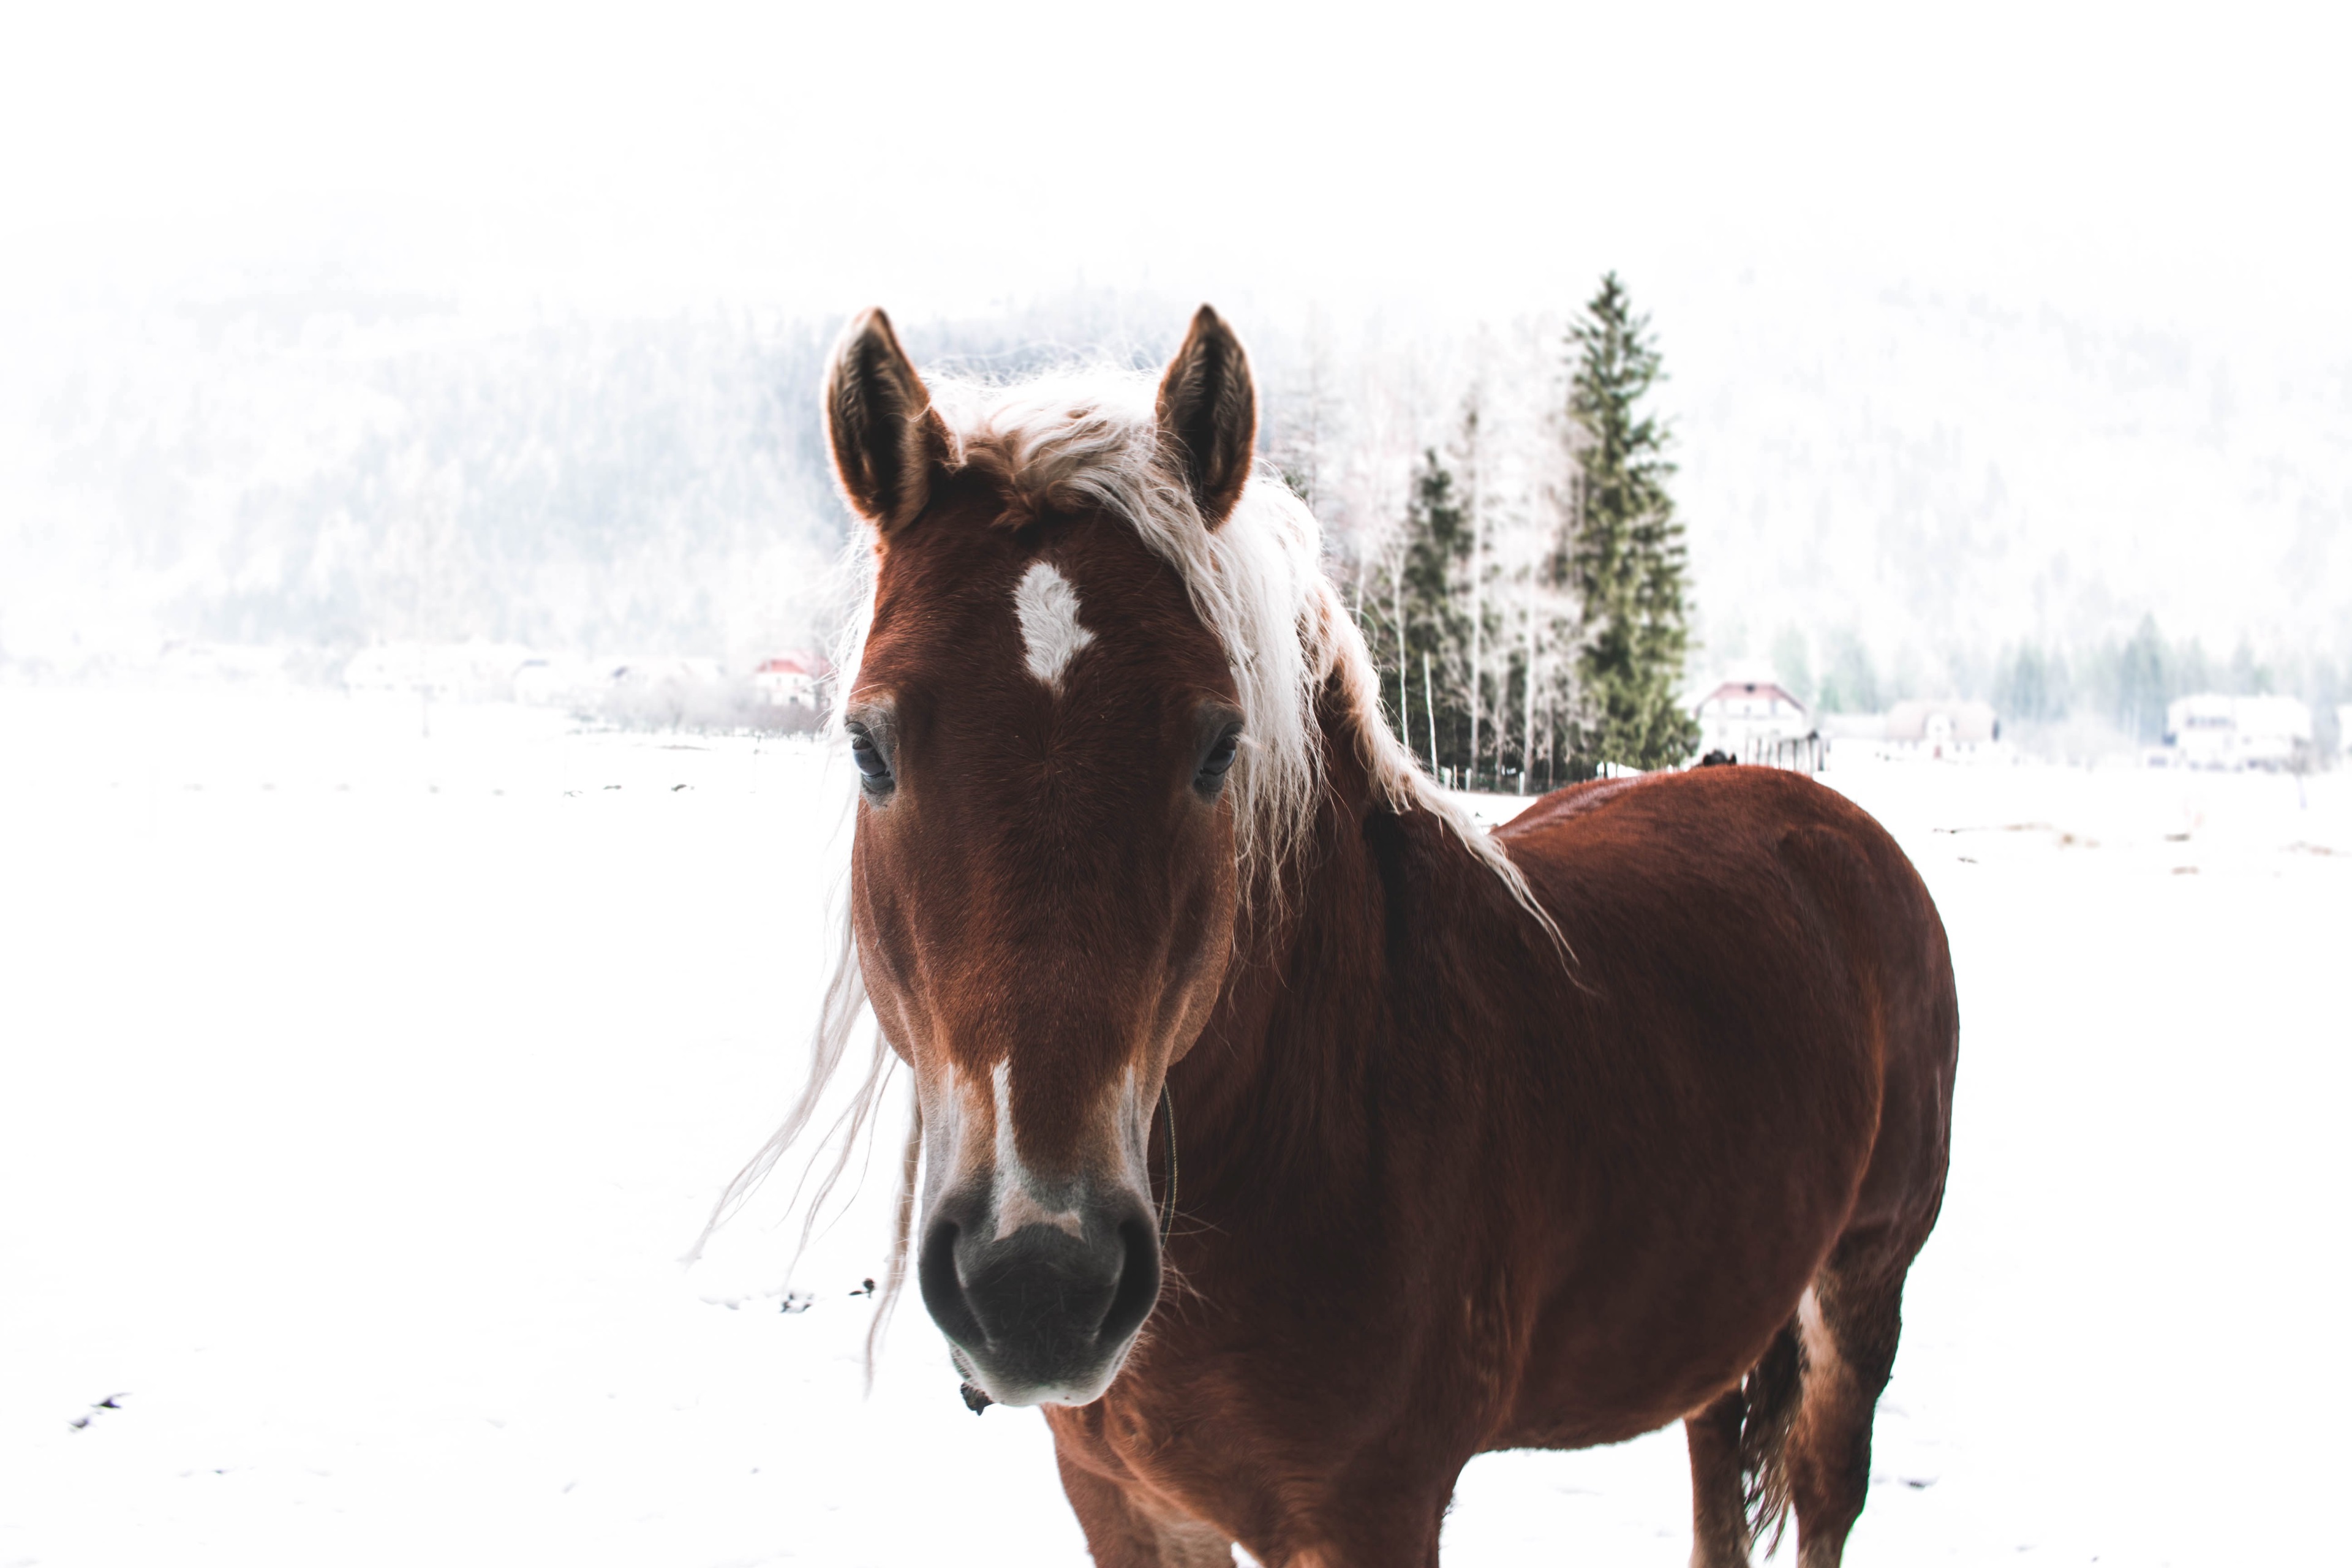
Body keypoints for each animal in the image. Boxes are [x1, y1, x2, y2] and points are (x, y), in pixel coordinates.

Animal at [732, 304, 1958, 1567]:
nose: (1041, 1282)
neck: (1325, 1100)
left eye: (1219, 746)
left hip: (1863, 1289)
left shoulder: (1373, 1511)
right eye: (869, 745)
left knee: (1825, 1493)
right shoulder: (1123, 1502)